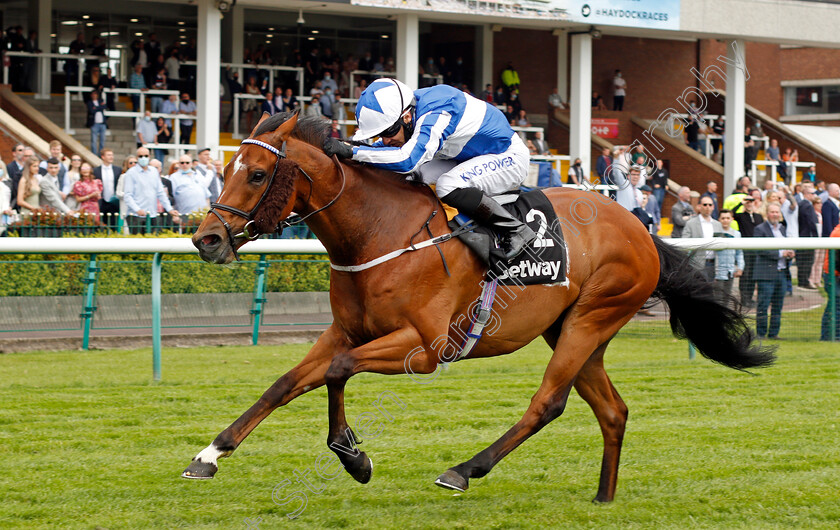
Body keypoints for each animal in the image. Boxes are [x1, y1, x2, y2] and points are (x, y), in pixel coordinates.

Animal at [184, 111, 776, 500]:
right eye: (227, 168)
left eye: (257, 174)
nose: (206, 239)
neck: (380, 233)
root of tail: (640, 227)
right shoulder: (346, 330)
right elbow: (287, 383)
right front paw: (208, 456)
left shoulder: (422, 349)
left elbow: (337, 371)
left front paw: (354, 457)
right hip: (572, 329)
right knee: (612, 410)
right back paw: (603, 497)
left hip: (592, 318)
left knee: (548, 403)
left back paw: (465, 470)